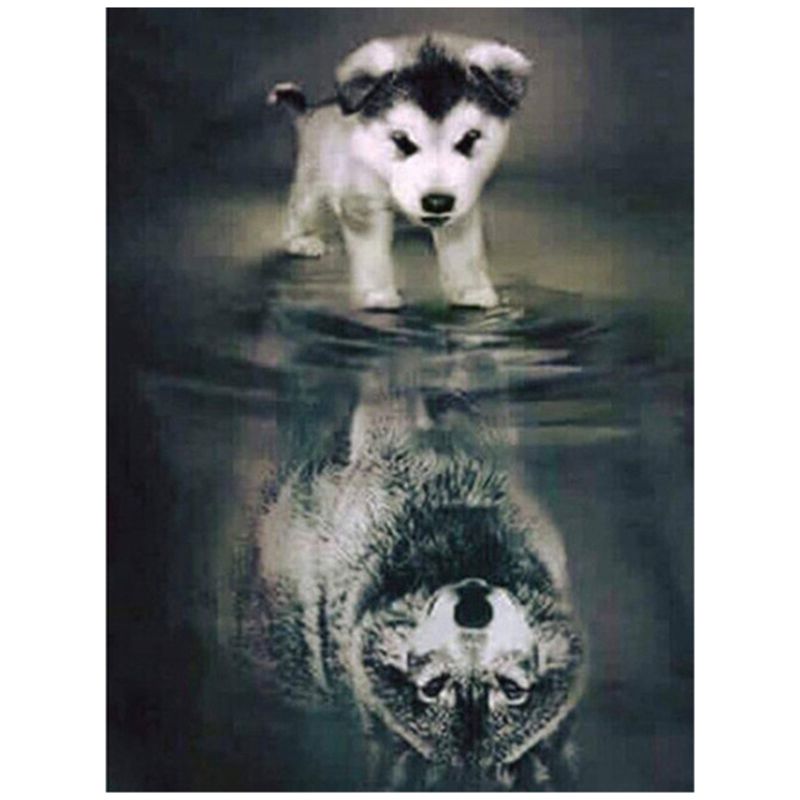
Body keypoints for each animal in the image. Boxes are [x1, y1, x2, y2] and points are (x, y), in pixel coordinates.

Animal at [268, 33, 532, 310]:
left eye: (470, 137)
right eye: (401, 140)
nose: (437, 202)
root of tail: (313, 111)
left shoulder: (462, 206)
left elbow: (464, 251)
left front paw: (471, 291)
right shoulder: (364, 204)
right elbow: (371, 254)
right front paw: (377, 296)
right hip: (313, 185)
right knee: (299, 209)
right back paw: (299, 240)